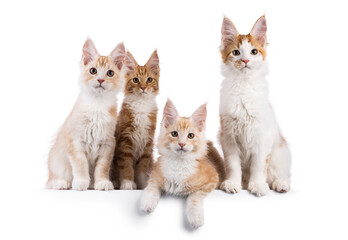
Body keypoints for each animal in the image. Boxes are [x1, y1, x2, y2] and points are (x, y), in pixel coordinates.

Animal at [45, 38, 125, 190]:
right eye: (93, 71)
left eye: (110, 73)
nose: (100, 80)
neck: (97, 106)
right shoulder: (75, 142)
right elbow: (81, 165)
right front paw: (81, 183)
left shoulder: (108, 144)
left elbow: (102, 168)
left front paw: (101, 183)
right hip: (56, 161)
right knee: (51, 180)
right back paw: (61, 183)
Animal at [111, 50, 160, 189]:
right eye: (135, 80)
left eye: (149, 80)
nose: (143, 87)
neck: (141, 104)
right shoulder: (125, 141)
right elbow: (127, 166)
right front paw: (127, 183)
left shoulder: (147, 143)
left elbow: (142, 169)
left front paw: (143, 185)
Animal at [220, 15, 290, 197]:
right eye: (236, 52)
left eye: (254, 52)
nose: (245, 60)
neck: (244, 86)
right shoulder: (229, 136)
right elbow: (233, 165)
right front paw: (232, 183)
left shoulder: (261, 136)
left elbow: (259, 166)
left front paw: (258, 185)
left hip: (279, 153)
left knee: (276, 174)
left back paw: (280, 184)